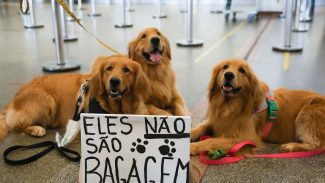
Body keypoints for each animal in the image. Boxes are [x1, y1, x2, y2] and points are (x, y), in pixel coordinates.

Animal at [0, 55, 148, 139]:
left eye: (126, 70)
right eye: (109, 68)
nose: (114, 81)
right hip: (47, 99)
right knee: (16, 124)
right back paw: (35, 129)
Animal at [190, 59, 324, 155]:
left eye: (242, 70)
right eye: (225, 66)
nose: (228, 75)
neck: (230, 107)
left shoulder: (245, 137)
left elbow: (212, 140)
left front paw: (193, 147)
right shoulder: (216, 121)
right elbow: (200, 127)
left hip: (309, 111)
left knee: (317, 144)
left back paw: (292, 146)